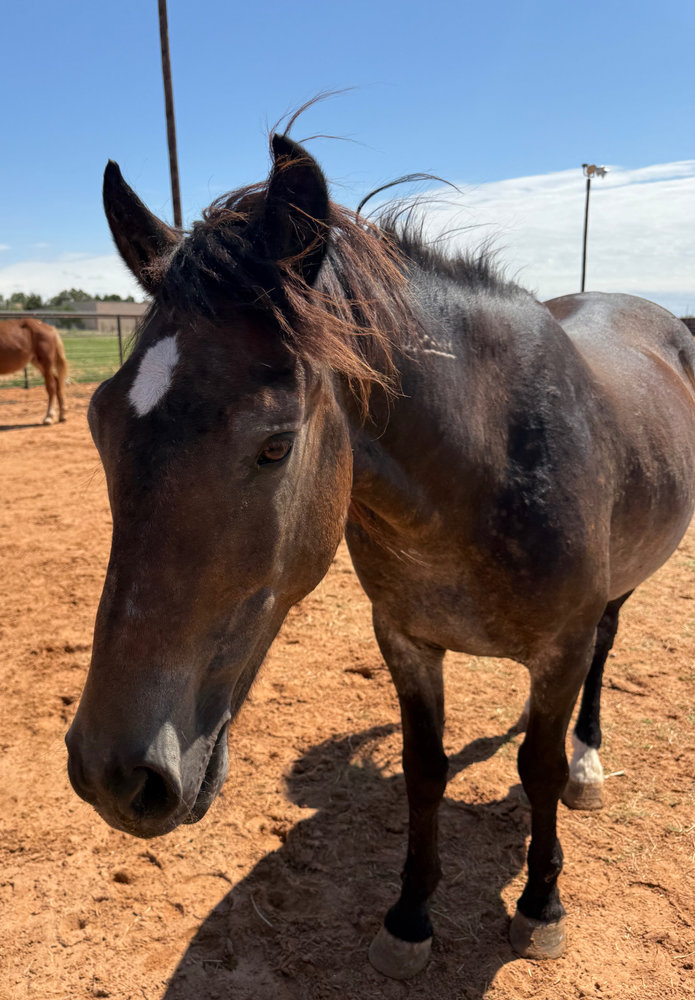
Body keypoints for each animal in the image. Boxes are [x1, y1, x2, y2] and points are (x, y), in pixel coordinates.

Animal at [65, 135, 695, 980]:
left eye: (276, 443)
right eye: (100, 420)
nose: (114, 775)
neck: (489, 464)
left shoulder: (558, 646)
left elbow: (536, 769)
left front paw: (539, 905)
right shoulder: (403, 639)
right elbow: (424, 770)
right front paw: (409, 916)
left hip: (615, 594)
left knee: (601, 654)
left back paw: (587, 764)